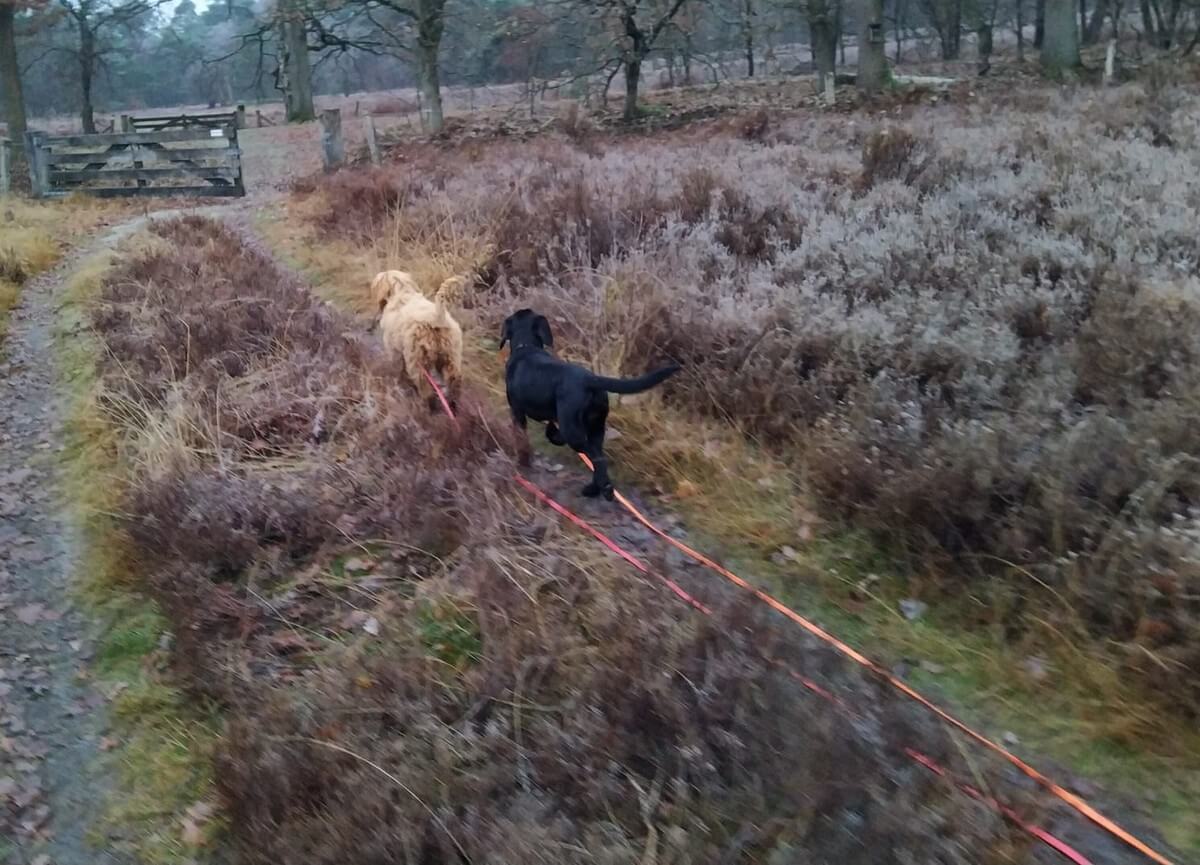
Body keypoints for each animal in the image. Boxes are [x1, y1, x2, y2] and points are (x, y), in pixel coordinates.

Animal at [372, 268, 465, 405]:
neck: (402, 291)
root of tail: (437, 318)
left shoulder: (393, 349)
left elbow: (398, 368)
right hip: (451, 356)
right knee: (455, 381)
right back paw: (452, 402)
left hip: (418, 360)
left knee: (424, 386)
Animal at [501, 309, 681, 499]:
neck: (526, 347)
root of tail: (590, 380)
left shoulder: (517, 412)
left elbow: (521, 440)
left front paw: (522, 463)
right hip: (596, 427)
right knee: (597, 455)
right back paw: (593, 488)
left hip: (574, 431)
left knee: (597, 459)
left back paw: (605, 489)